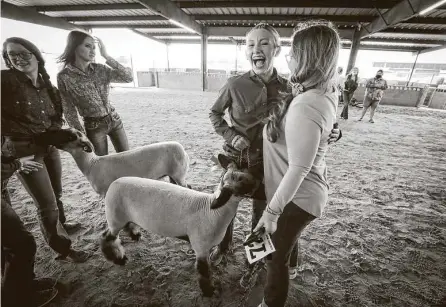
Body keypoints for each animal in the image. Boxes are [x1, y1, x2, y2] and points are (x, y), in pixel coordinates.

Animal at [33, 127, 190, 241]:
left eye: (70, 136)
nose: (42, 135)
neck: (91, 165)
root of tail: (184, 150)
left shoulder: (108, 192)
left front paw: (132, 232)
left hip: (178, 174)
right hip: (173, 176)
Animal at [100, 156, 262, 298]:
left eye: (246, 170)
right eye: (242, 182)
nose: (260, 183)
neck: (214, 212)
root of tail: (113, 184)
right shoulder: (200, 247)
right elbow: (204, 273)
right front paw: (209, 292)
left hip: (123, 217)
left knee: (123, 228)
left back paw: (134, 236)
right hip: (115, 216)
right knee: (107, 237)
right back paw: (119, 259)